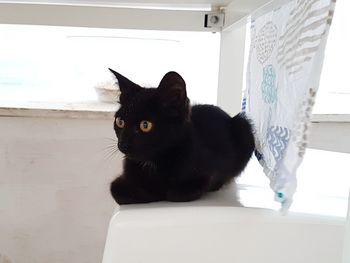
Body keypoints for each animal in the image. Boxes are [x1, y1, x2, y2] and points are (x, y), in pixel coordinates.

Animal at [109, 69, 254, 205]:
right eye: (120, 122)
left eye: (145, 125)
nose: (123, 144)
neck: (153, 161)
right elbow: (115, 189)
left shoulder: (209, 174)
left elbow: (174, 193)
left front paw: (155, 192)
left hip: (244, 125)